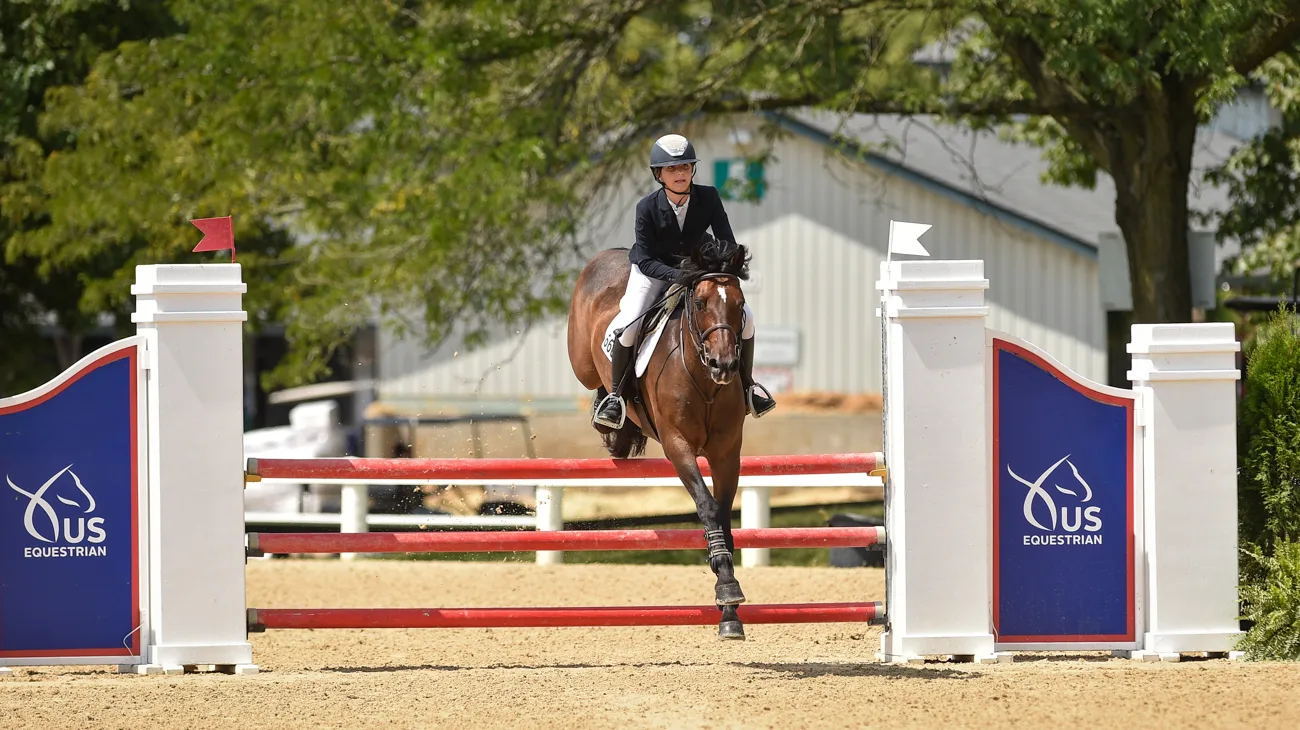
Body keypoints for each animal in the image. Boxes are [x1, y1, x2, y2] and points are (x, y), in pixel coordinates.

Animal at [567, 234, 753, 640]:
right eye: (699, 303)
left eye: (740, 304)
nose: (725, 366)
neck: (704, 380)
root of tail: (611, 254)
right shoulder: (678, 445)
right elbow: (708, 506)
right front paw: (727, 586)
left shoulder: (726, 452)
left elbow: (723, 513)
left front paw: (729, 609)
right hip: (582, 361)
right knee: (598, 372)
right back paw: (608, 410)